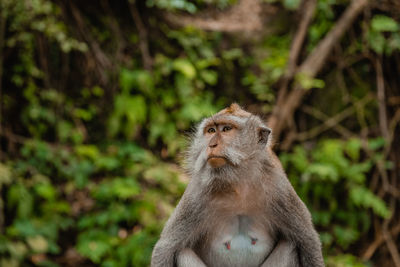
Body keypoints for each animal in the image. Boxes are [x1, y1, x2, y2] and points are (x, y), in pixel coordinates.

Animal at [152, 104, 324, 267]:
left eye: (227, 129)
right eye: (211, 130)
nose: (211, 144)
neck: (237, 185)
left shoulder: (279, 189)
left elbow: (307, 241)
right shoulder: (196, 194)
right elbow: (166, 248)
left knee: (290, 245)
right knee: (182, 253)